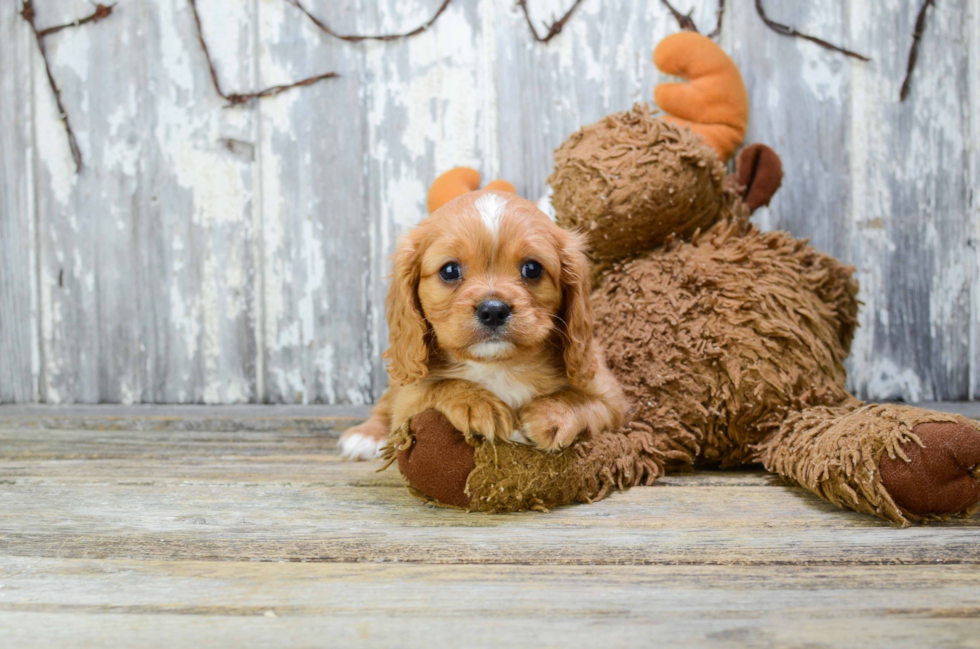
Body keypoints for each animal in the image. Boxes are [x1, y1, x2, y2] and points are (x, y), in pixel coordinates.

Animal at [340, 190, 624, 458]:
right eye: (450, 270)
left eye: (532, 268)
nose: (494, 310)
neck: (498, 366)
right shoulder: (408, 400)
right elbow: (439, 385)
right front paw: (478, 404)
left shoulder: (611, 398)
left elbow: (584, 400)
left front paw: (550, 414)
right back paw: (366, 435)